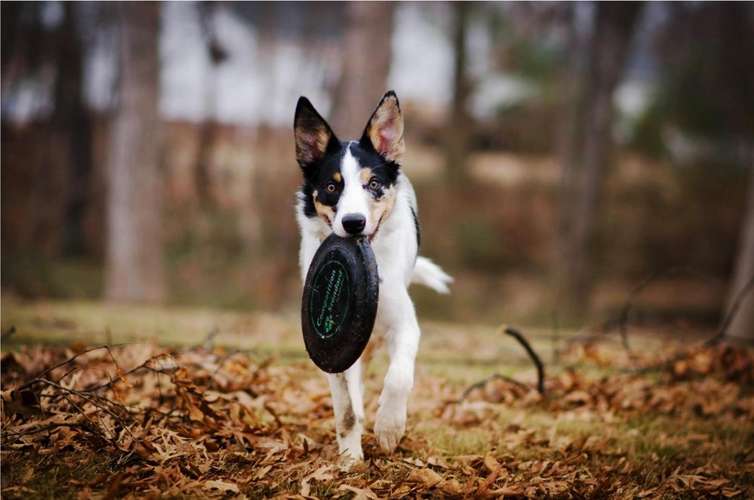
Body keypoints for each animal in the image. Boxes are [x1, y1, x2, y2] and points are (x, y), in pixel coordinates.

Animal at [290, 92, 450, 462]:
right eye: (331, 186)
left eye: (373, 184)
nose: (353, 223)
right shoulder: (332, 351)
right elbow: (346, 408)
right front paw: (350, 458)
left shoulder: (404, 324)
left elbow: (399, 377)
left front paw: (390, 427)